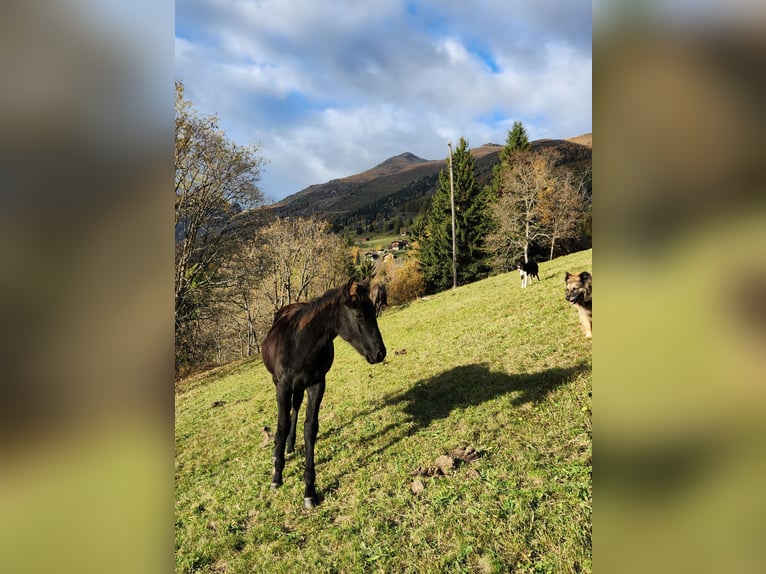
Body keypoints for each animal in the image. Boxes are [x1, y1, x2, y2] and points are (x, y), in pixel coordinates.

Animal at [262, 280, 388, 508]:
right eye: (359, 315)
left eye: (373, 311)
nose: (379, 353)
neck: (299, 344)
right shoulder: (282, 386)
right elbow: (282, 424)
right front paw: (277, 476)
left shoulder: (317, 384)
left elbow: (310, 428)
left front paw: (309, 491)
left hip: (300, 387)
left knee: (296, 408)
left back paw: (290, 445)